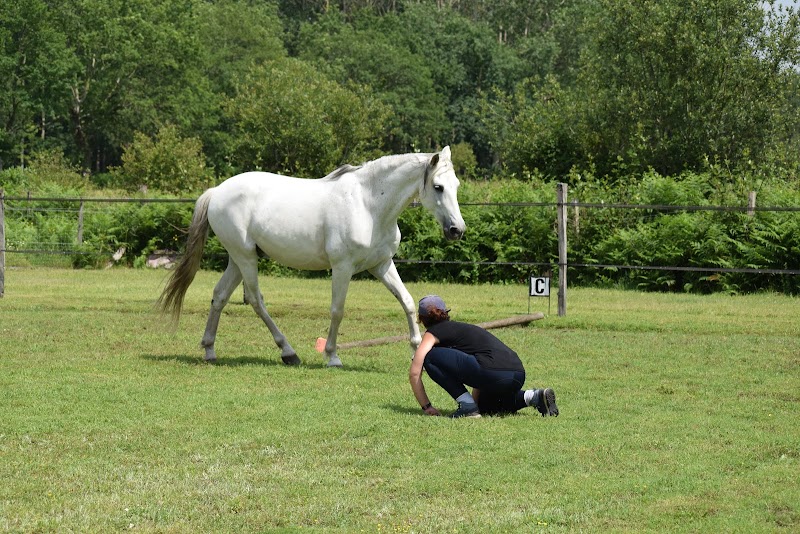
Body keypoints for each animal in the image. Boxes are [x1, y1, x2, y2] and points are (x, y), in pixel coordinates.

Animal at [158, 146, 465, 367]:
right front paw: (332, 356)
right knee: (256, 300)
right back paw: (288, 352)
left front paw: (416, 349)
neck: (368, 204)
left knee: (220, 296)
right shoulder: (342, 268)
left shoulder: (381, 265)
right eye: (438, 187)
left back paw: (210, 350)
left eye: (457, 185)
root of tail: (217, 191)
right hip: (246, 259)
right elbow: (337, 310)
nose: (456, 230)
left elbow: (408, 302)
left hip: (238, 259)